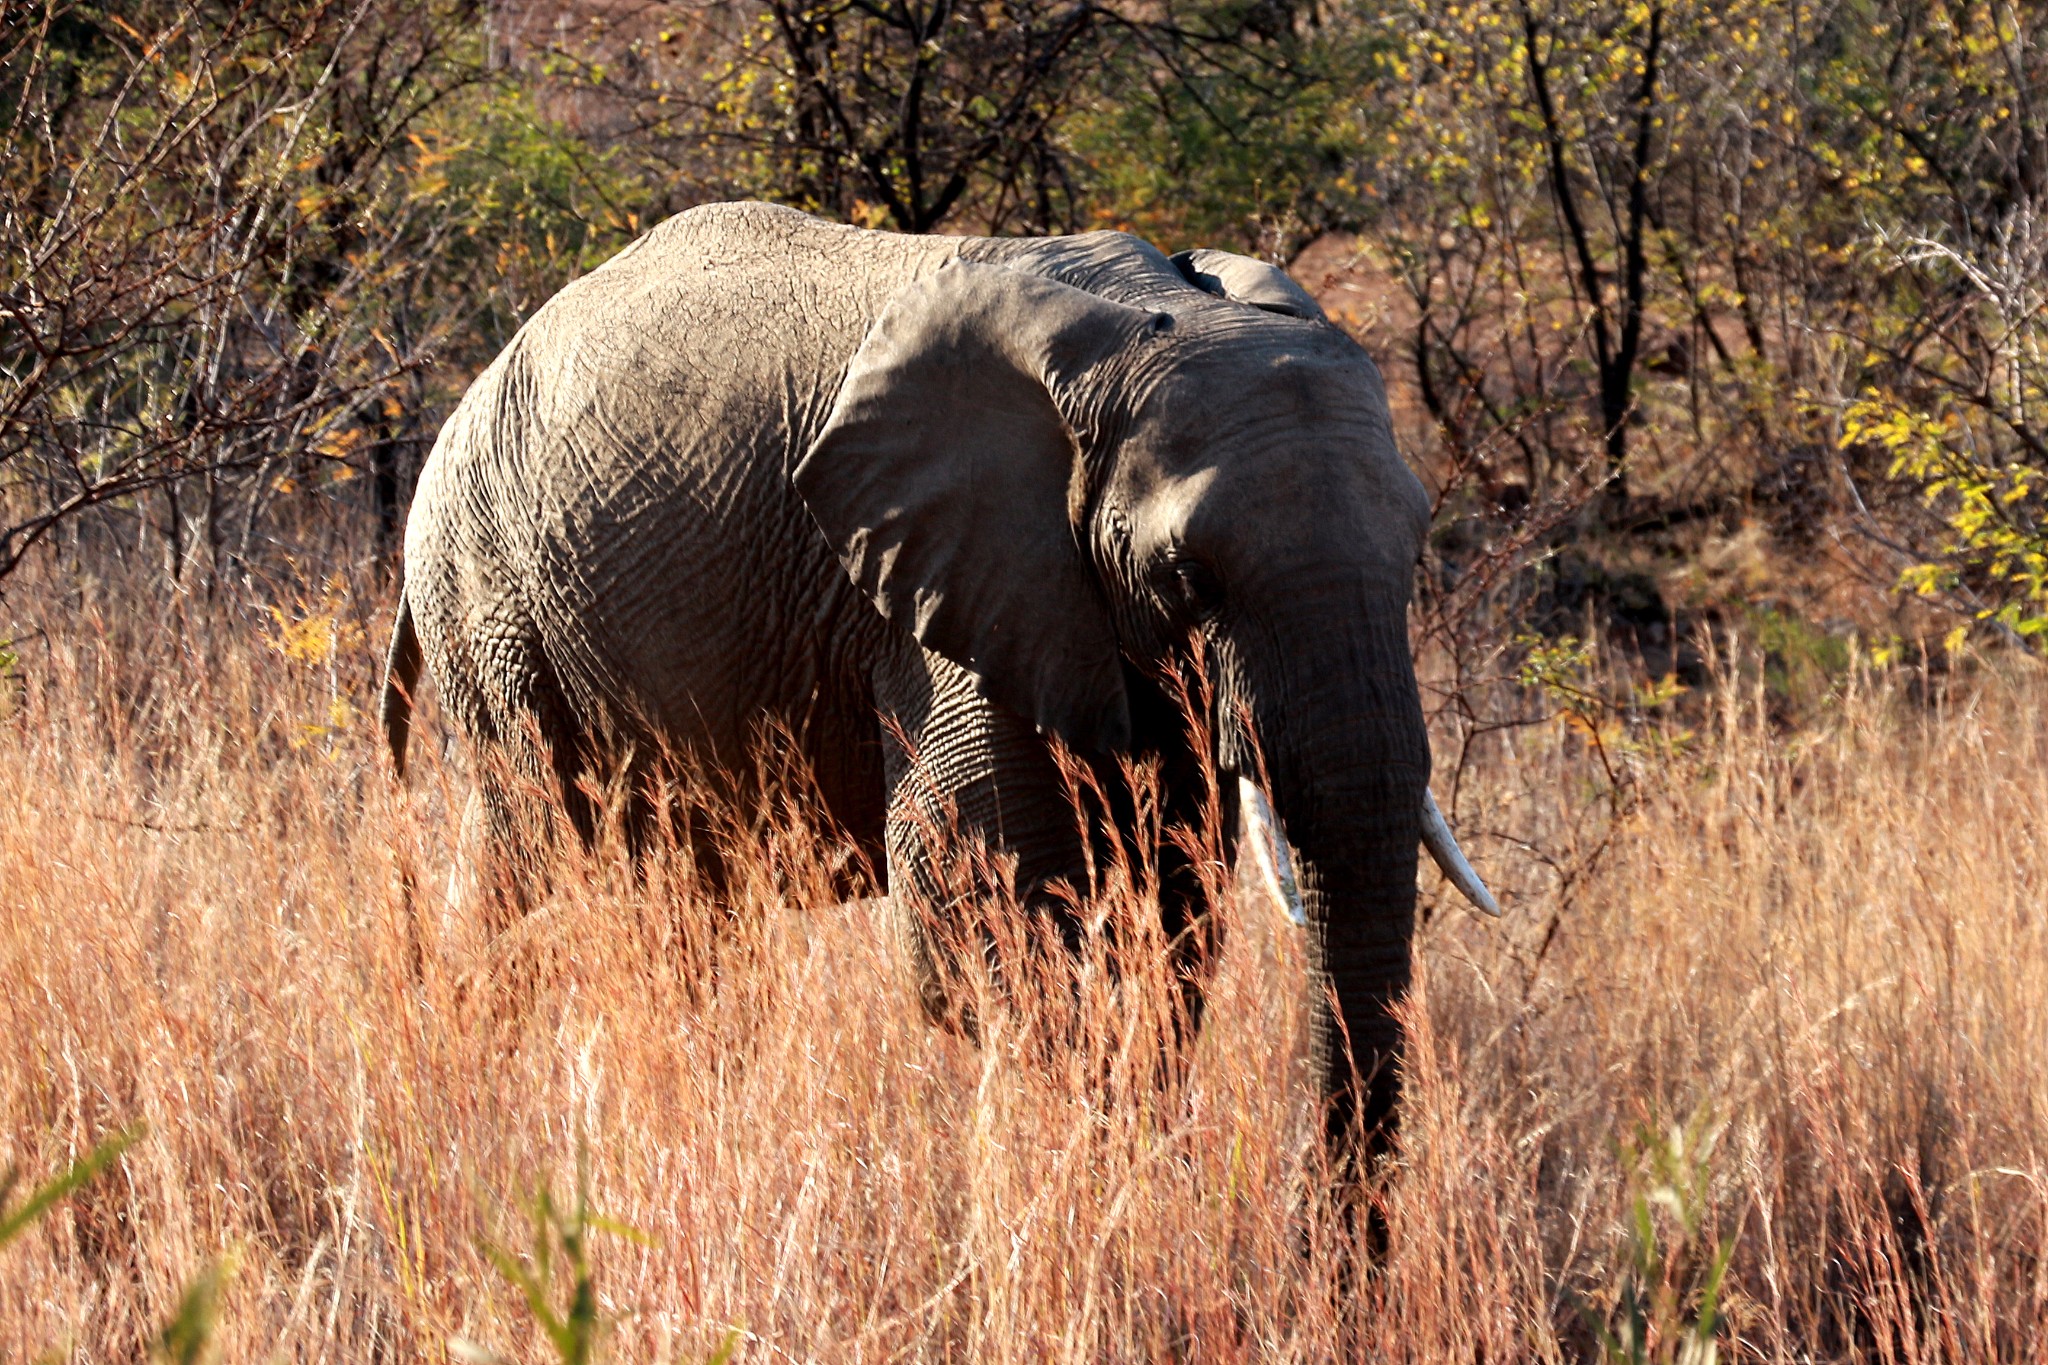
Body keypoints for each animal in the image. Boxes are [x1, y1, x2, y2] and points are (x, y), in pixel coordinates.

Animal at [385, 202, 1499, 1162]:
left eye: (1415, 551)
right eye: (1187, 574)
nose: (1326, 1246)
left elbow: (1172, 908)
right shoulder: (935, 592)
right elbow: (974, 909)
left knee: (683, 895)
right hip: (486, 595)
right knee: (536, 850)